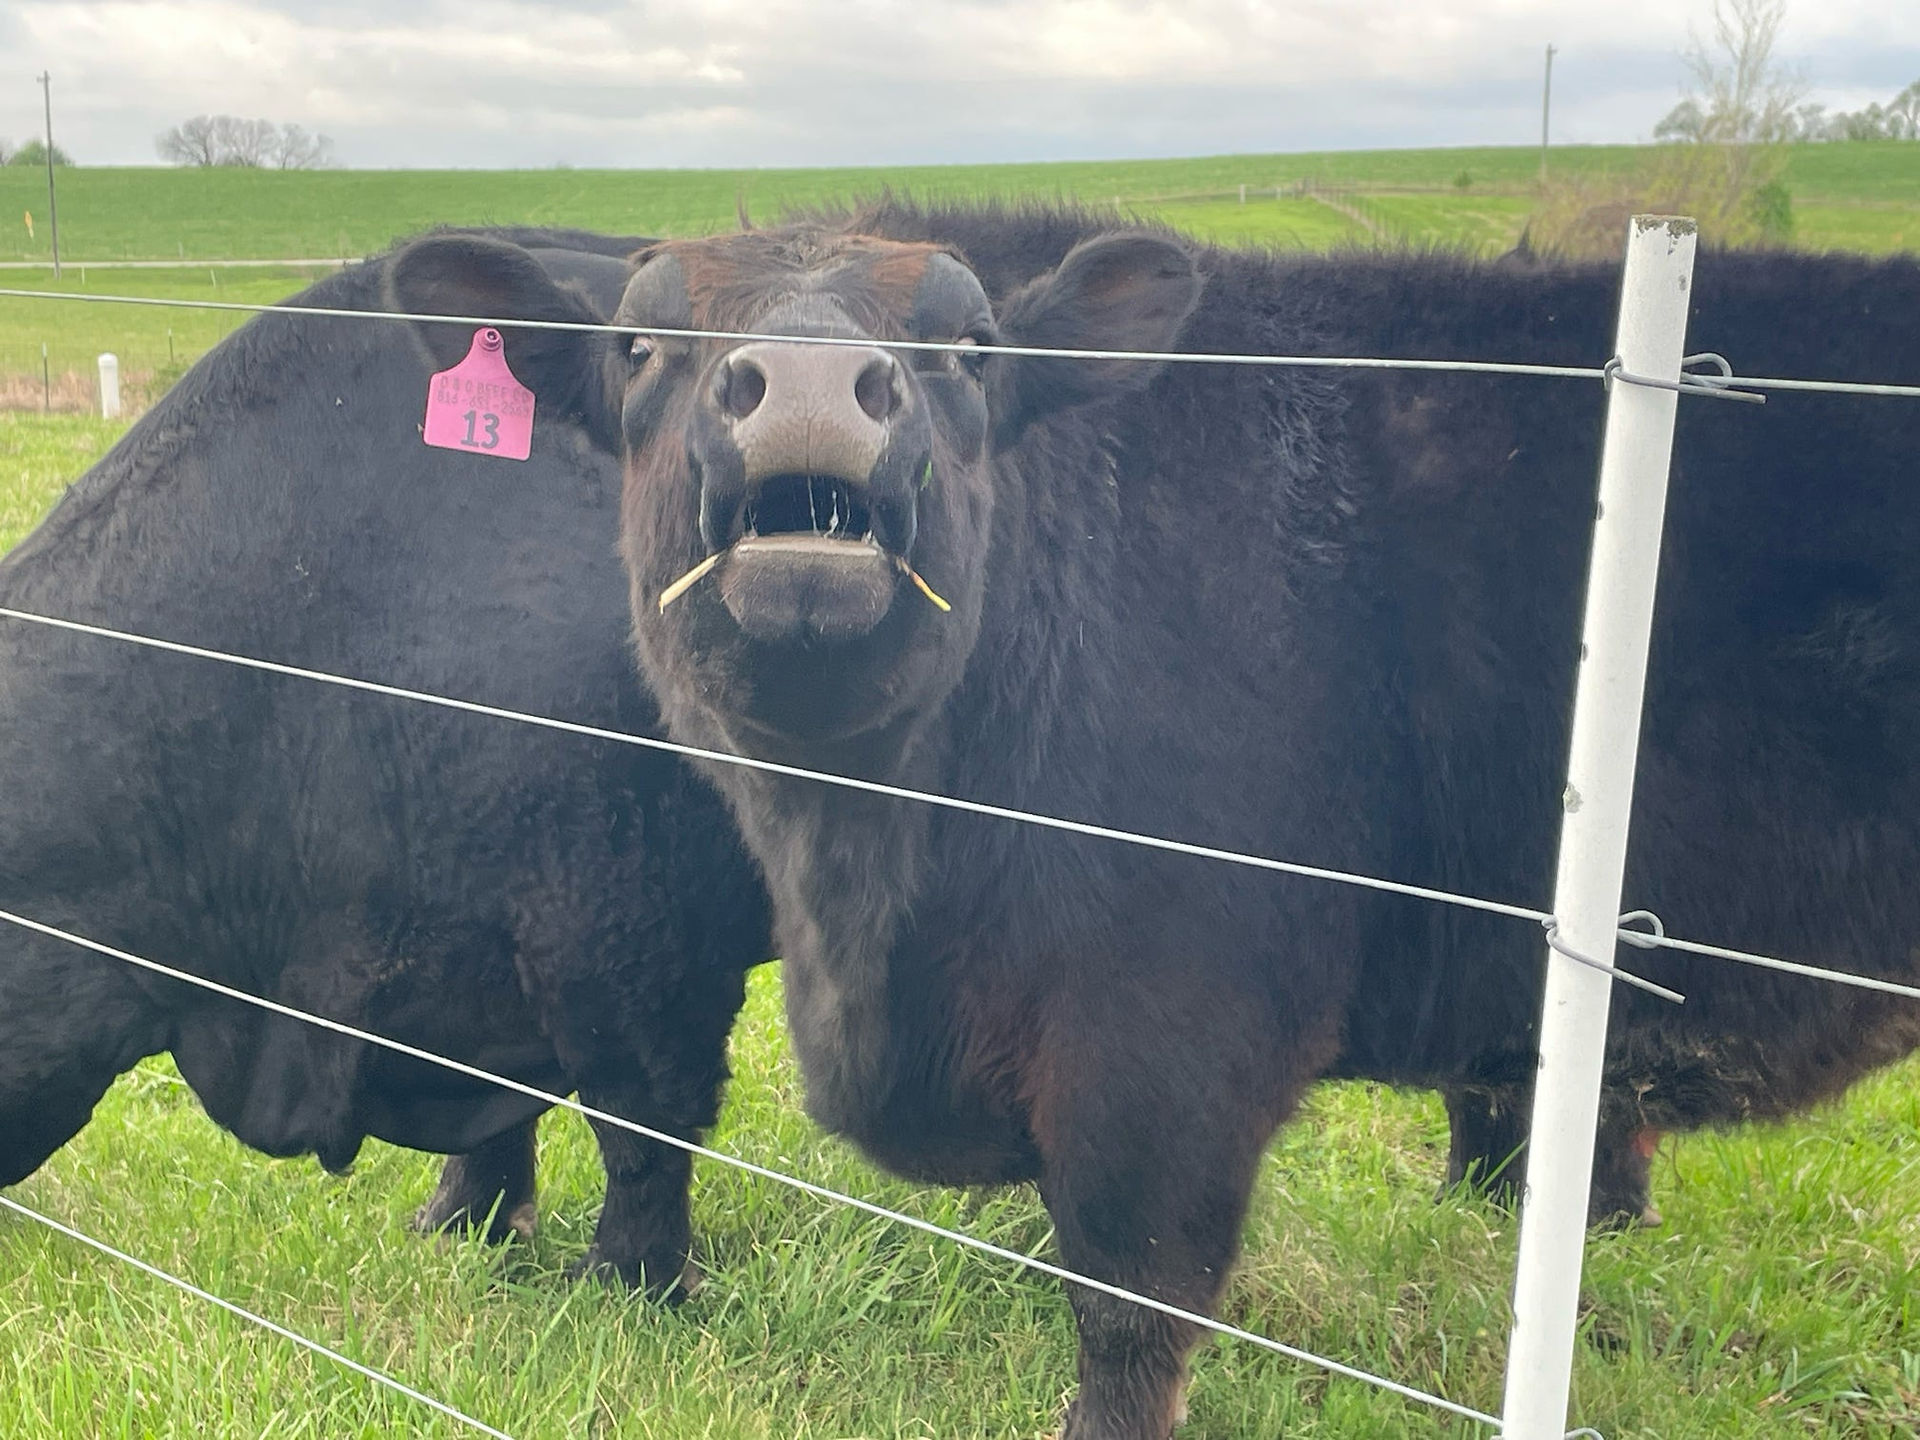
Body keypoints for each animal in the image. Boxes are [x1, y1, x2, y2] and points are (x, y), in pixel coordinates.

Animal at [386, 206, 1920, 1437]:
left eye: (971, 347)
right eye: (643, 343)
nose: (815, 389)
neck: (873, 886)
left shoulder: (1171, 1044)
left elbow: (1131, 1308)